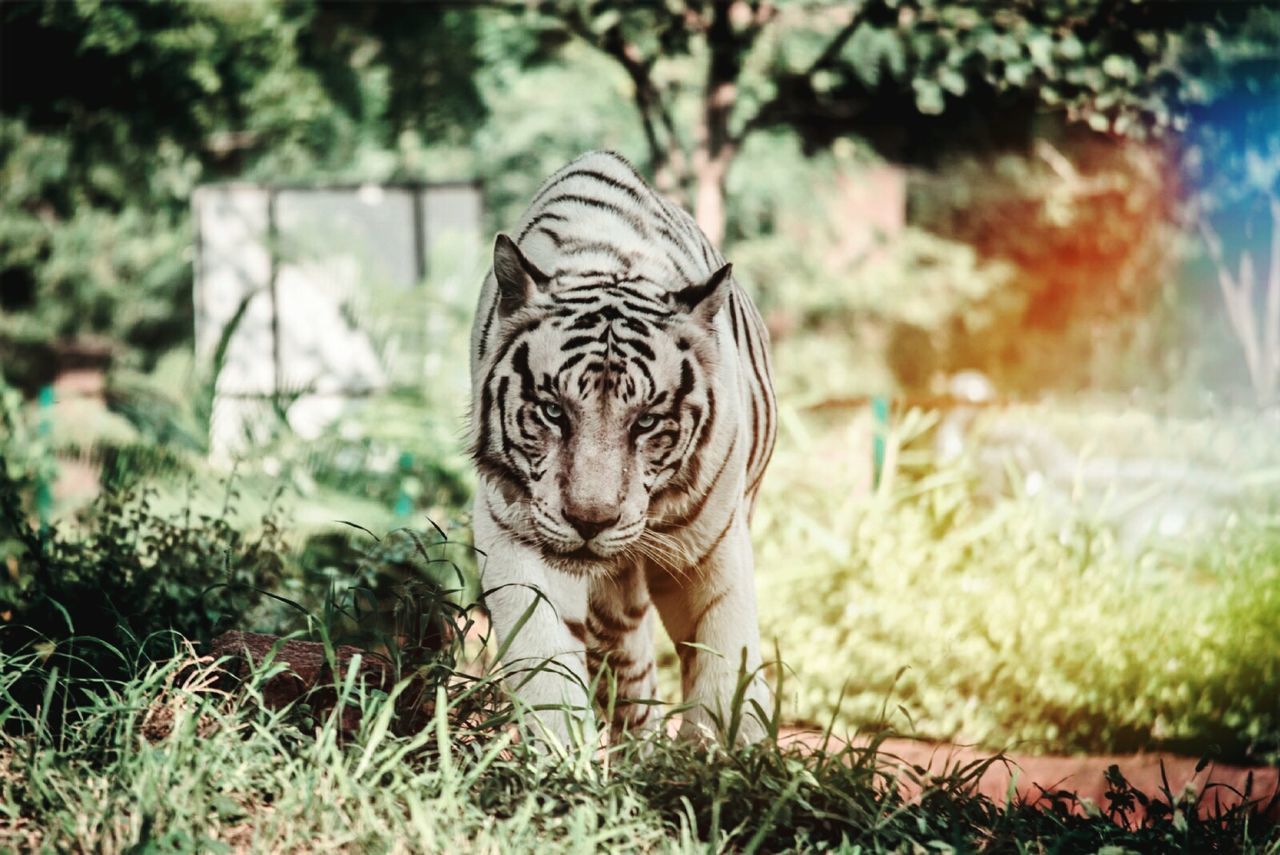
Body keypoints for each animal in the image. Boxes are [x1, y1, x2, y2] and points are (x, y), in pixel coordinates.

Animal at [465, 150, 773, 742]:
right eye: (553, 411)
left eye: (647, 421)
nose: (591, 521)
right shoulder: (513, 528)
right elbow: (545, 662)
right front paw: (564, 757)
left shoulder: (713, 543)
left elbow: (724, 661)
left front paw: (727, 758)